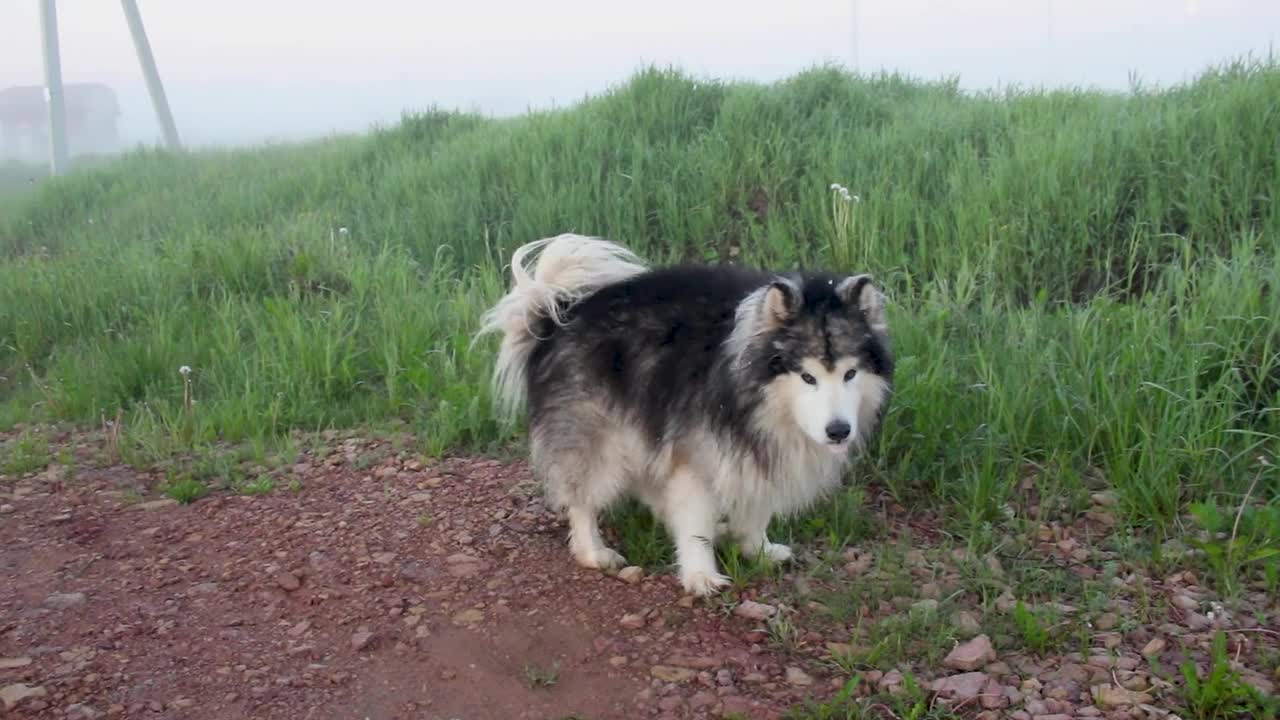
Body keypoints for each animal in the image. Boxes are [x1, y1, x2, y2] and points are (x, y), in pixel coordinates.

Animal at [478, 234, 890, 594]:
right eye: (807, 376)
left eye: (850, 374)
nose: (839, 431)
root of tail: (558, 313)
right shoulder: (697, 454)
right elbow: (694, 522)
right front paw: (700, 575)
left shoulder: (757, 449)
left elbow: (757, 507)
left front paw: (756, 548)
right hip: (598, 438)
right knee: (583, 500)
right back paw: (592, 551)